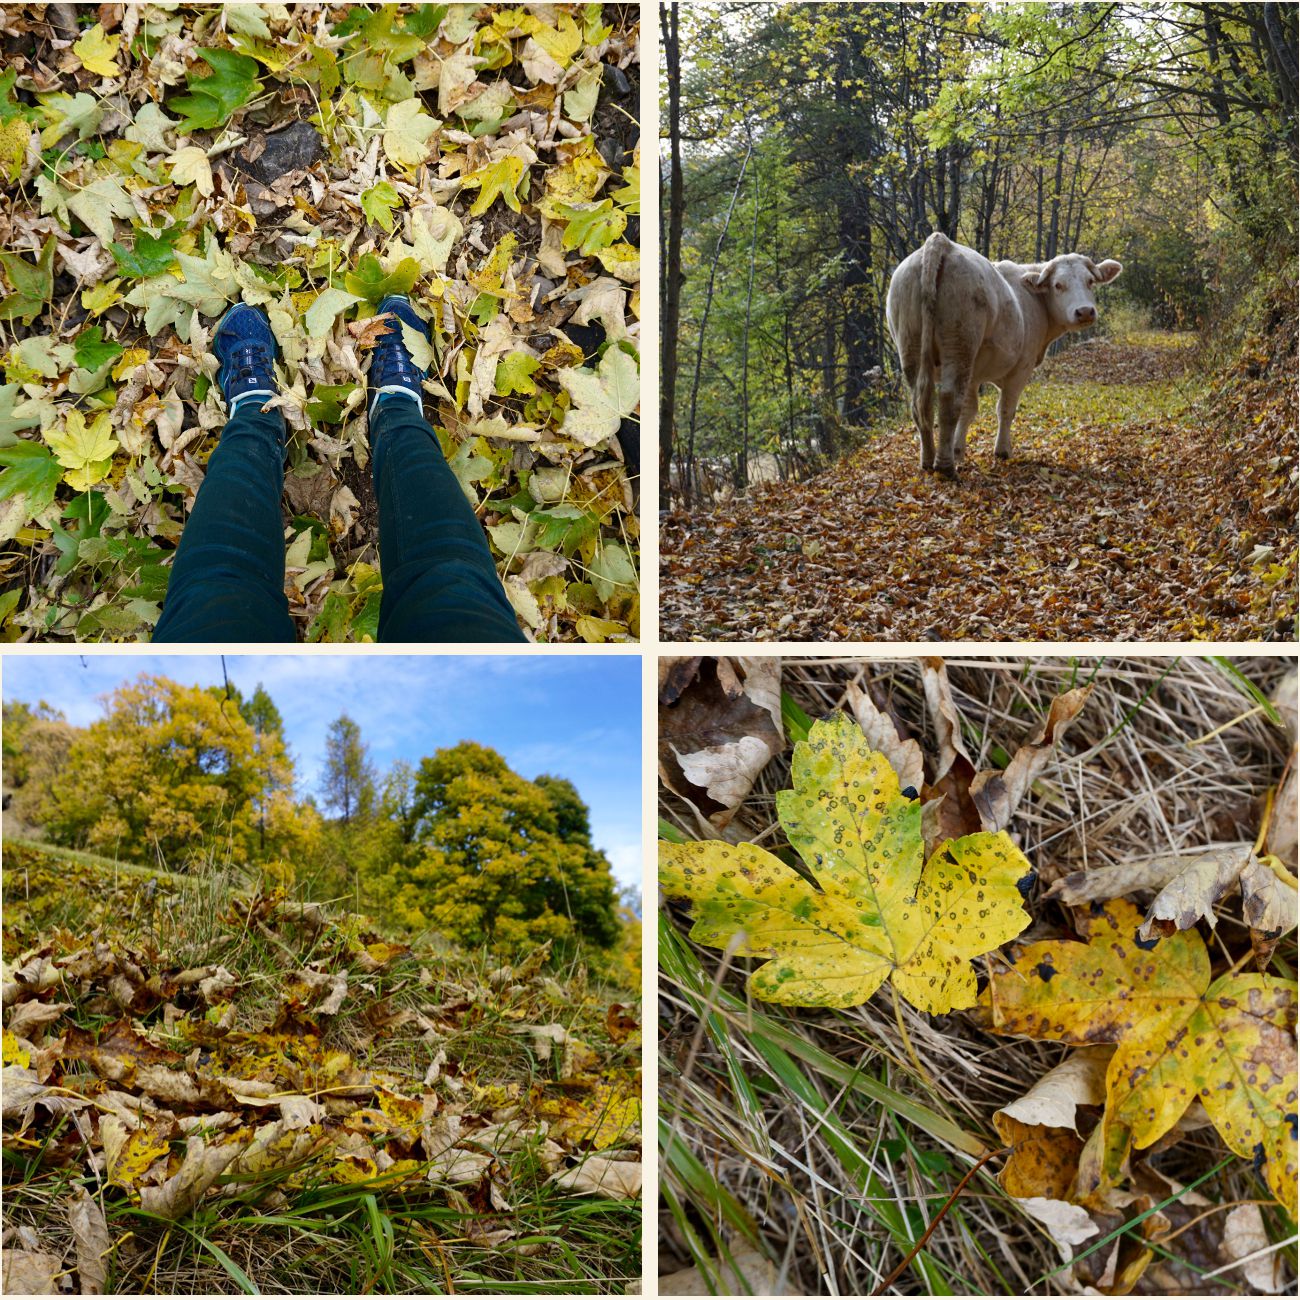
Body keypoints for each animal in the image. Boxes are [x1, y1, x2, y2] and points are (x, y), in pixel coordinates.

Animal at [889, 233, 1123, 478]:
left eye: (1090, 281)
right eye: (1058, 285)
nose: (1085, 311)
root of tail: (941, 243)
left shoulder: (974, 375)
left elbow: (969, 410)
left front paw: (958, 450)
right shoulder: (1021, 368)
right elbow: (1006, 409)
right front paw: (1001, 451)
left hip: (911, 345)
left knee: (921, 403)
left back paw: (927, 461)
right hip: (960, 344)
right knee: (949, 400)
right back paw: (945, 466)